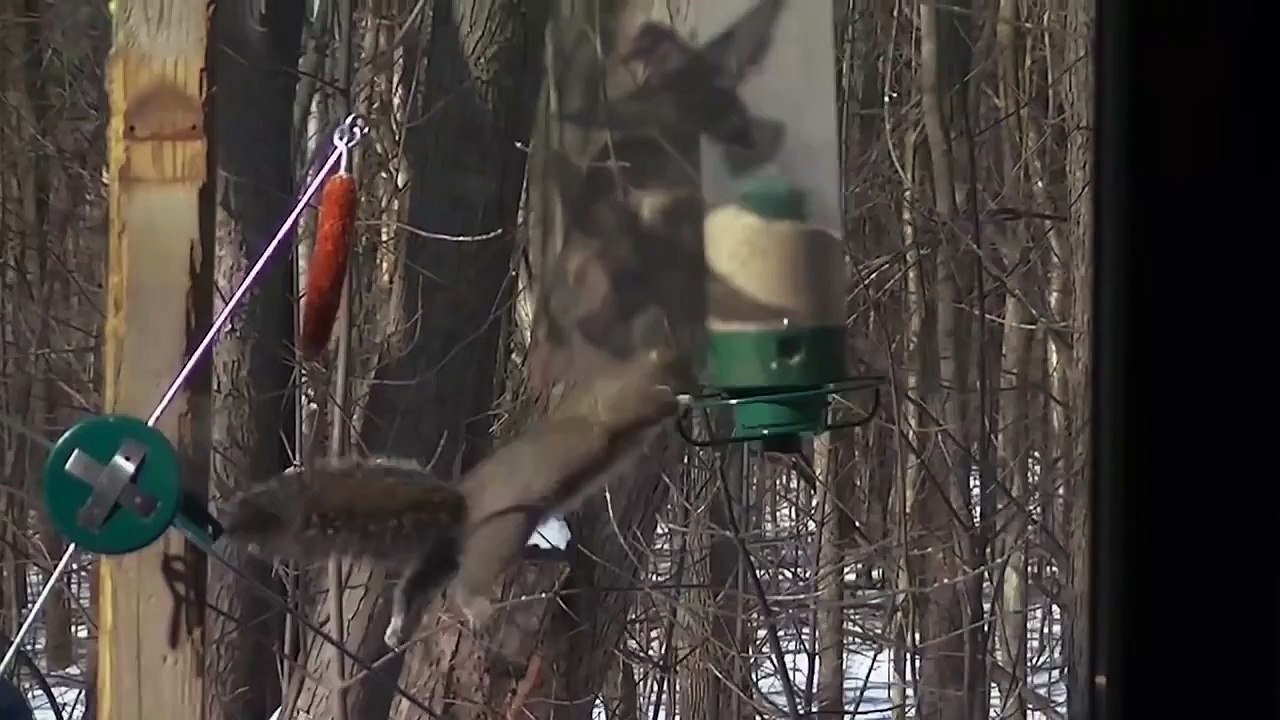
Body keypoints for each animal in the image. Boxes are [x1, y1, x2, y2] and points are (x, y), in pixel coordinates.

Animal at [218, 347, 690, 647]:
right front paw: (680, 401)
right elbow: (644, 406)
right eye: (676, 357)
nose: (696, 378)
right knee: (467, 579)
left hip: (442, 552)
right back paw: (475, 608)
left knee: (416, 584)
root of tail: (462, 504)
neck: (628, 371)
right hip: (501, 530)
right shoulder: (621, 404)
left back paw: (396, 627)